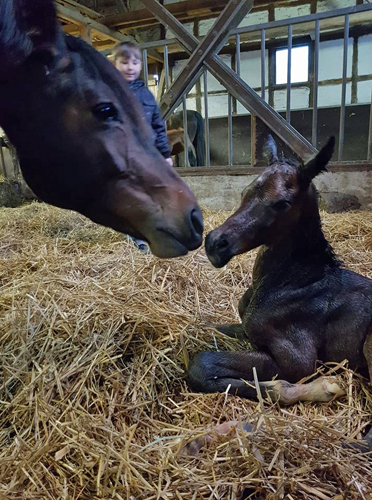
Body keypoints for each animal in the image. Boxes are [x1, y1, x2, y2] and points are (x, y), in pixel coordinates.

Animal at [189, 137, 372, 418]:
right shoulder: (245, 327)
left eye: (283, 203)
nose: (215, 244)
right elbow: (203, 326)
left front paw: (323, 387)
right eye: (246, 191)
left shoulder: (298, 361)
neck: (294, 282)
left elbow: (202, 364)